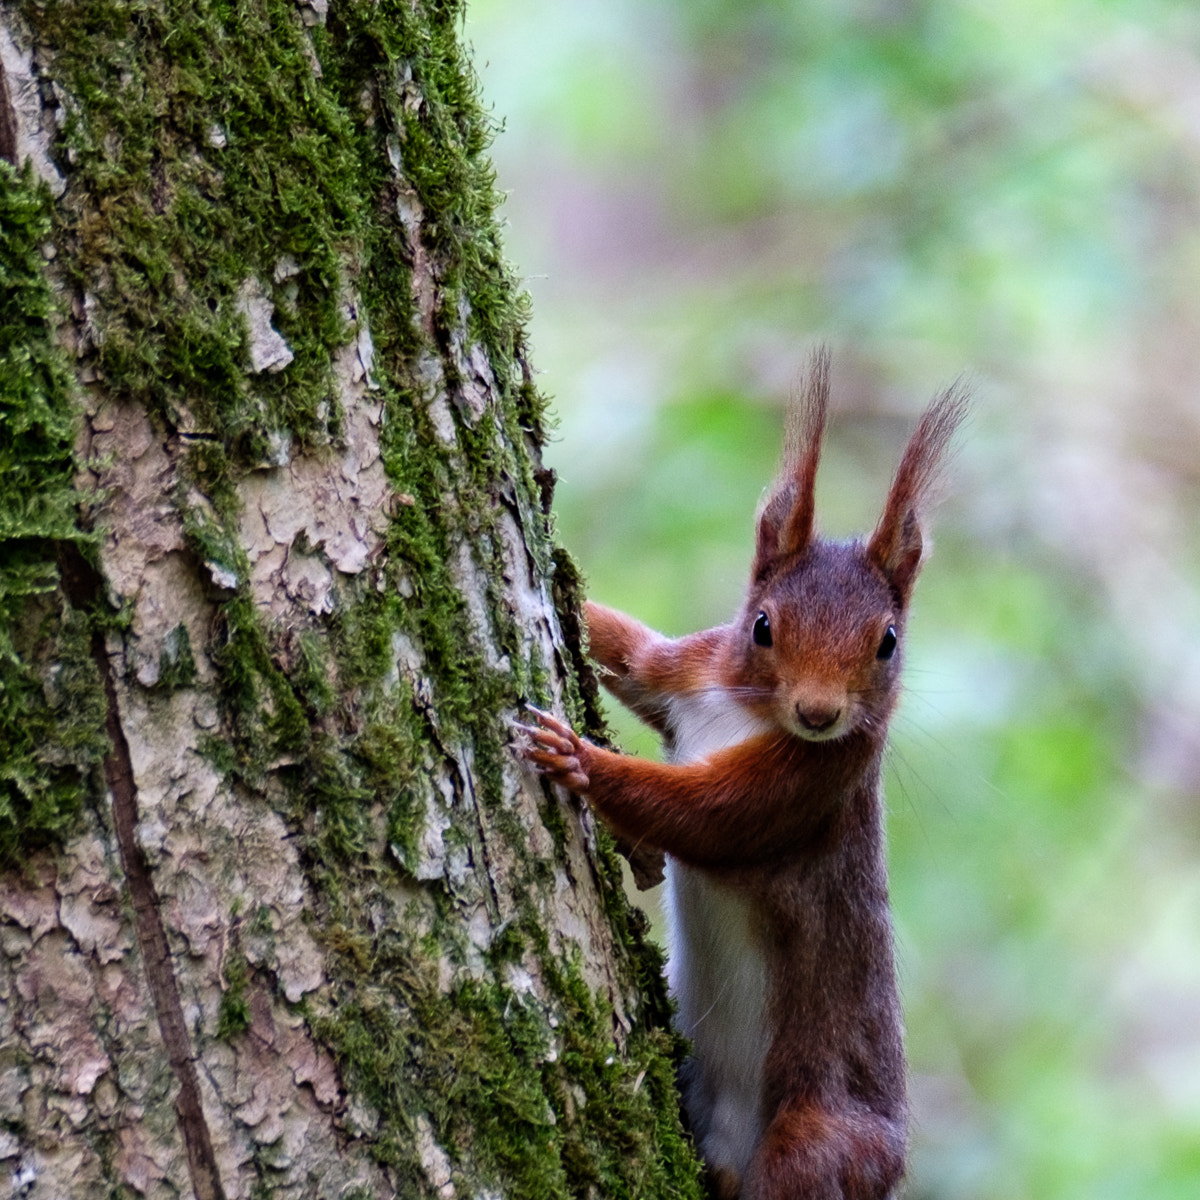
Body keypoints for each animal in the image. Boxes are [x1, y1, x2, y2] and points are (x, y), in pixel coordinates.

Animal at [523, 348, 964, 1200]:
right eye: (762, 626)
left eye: (888, 642)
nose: (820, 713)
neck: (747, 709)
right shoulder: (686, 673)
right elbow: (629, 650)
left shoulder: (810, 787)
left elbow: (708, 815)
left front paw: (580, 759)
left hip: (816, 1136)